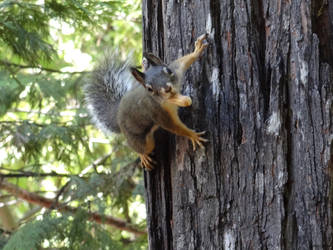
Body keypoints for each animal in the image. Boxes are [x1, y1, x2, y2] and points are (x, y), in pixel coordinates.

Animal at [84, 33, 206, 170]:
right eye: (149, 89)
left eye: (167, 70)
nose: (167, 89)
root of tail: (117, 115)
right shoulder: (158, 113)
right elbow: (175, 127)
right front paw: (192, 135)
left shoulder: (177, 71)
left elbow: (183, 61)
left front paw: (197, 50)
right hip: (139, 139)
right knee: (140, 147)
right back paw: (143, 156)